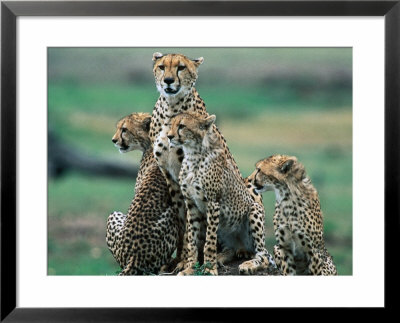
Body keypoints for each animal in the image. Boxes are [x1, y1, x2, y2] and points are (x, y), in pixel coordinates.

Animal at [166, 113, 276, 276]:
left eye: (182, 126)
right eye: (171, 124)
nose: (169, 136)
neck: (192, 155)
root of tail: (242, 247)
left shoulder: (213, 204)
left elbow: (209, 242)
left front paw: (209, 268)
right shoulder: (191, 204)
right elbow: (192, 240)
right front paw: (190, 268)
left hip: (254, 210)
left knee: (263, 255)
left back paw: (248, 265)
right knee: (232, 250)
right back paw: (221, 257)